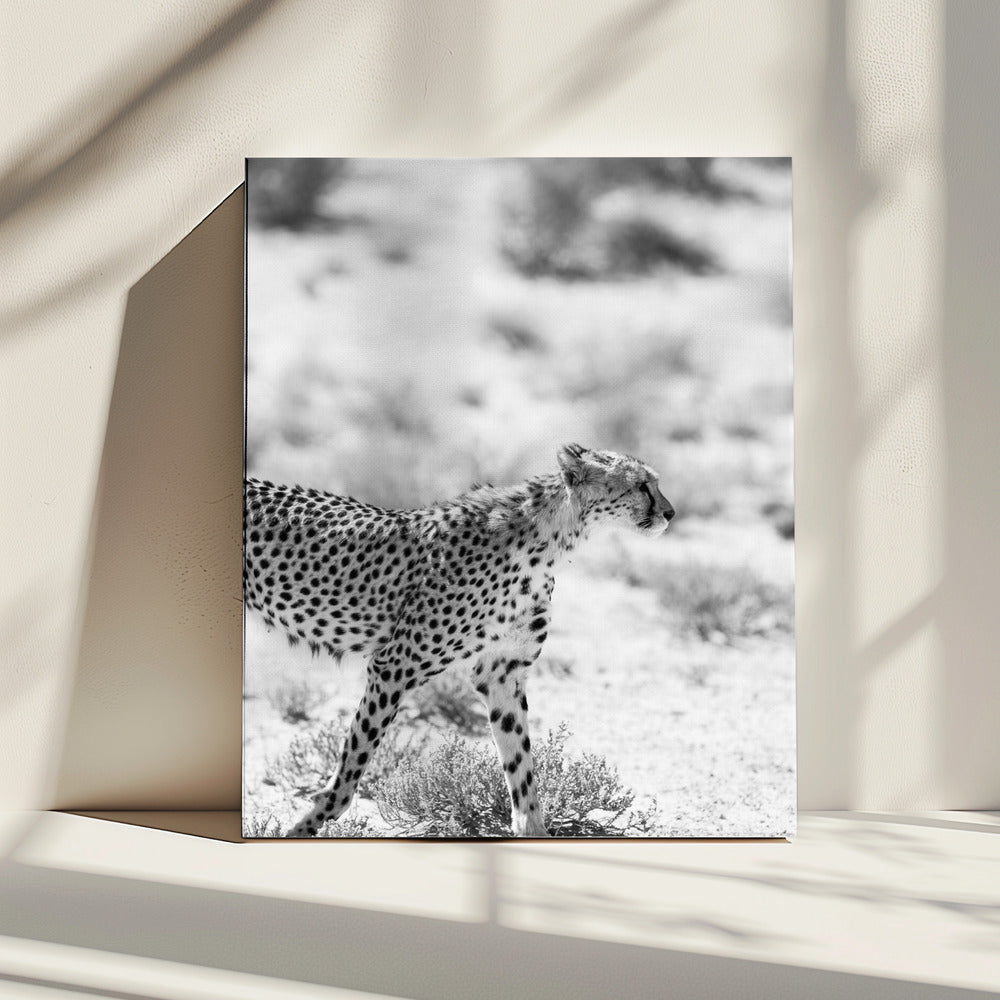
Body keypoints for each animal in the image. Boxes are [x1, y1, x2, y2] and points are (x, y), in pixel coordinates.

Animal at [244, 443, 675, 837]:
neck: (547, 541)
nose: (670, 513)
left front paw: (533, 829)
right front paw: (306, 826)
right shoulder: (394, 665)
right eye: (642, 485)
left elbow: (521, 764)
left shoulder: (502, 674)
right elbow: (354, 763)